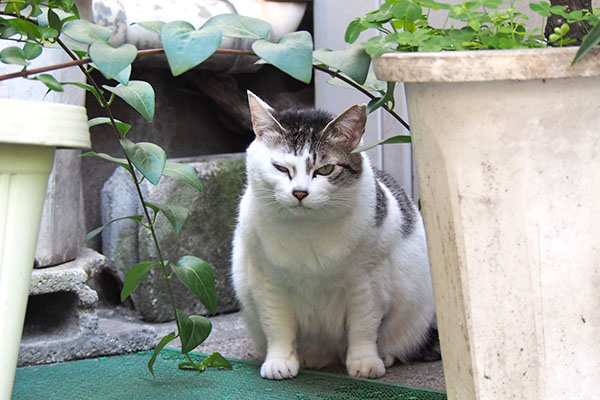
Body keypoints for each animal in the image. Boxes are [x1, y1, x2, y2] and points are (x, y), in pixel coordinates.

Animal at [232, 91, 438, 382]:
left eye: (325, 170)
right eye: (280, 168)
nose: (299, 192)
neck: (308, 231)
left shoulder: (367, 282)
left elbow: (364, 326)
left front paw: (365, 363)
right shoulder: (268, 282)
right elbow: (278, 327)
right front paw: (279, 361)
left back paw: (383, 356)